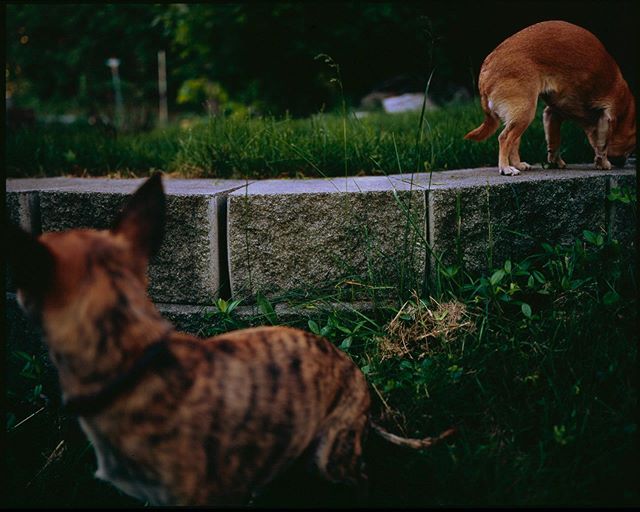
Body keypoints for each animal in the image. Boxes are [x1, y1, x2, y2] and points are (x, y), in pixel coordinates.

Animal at [464, 20, 636, 176]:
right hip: (525, 112)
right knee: (504, 138)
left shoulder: (552, 113)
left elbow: (554, 142)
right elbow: (602, 145)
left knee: (514, 140)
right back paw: (506, 168)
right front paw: (603, 163)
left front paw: (555, 161)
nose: (622, 163)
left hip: (520, 116)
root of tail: (484, 72)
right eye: (632, 146)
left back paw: (518, 164)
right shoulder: (607, 116)